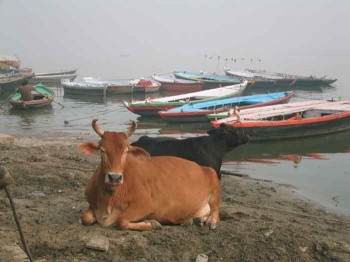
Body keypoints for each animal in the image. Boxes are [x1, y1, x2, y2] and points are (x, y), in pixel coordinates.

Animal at [79, 119, 221, 230]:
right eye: (102, 150)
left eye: (125, 151)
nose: (115, 177)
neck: (108, 198)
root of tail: (201, 167)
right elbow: (85, 218)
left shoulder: (145, 204)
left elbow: (121, 221)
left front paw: (153, 223)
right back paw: (194, 220)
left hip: (214, 181)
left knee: (215, 210)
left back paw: (210, 221)